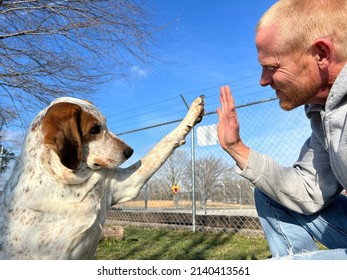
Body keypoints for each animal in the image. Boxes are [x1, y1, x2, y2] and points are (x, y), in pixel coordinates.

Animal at [0, 95, 204, 260]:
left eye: (105, 123)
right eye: (94, 129)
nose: (130, 152)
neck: (66, 183)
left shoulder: (127, 184)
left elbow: (164, 143)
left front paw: (192, 113)